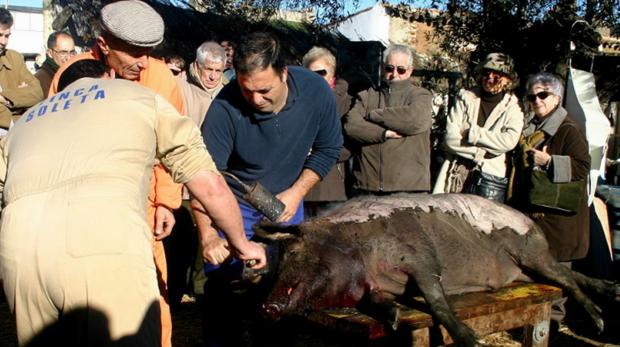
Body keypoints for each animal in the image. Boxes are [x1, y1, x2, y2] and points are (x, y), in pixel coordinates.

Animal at [256, 194, 620, 346]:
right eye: (280, 259)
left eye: (295, 251)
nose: (267, 306)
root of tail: (529, 219)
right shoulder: (375, 287)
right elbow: (379, 302)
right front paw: (394, 319)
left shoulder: (420, 256)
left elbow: (436, 299)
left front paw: (471, 341)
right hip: (527, 271)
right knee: (572, 275)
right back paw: (612, 292)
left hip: (530, 252)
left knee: (567, 279)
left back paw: (601, 323)